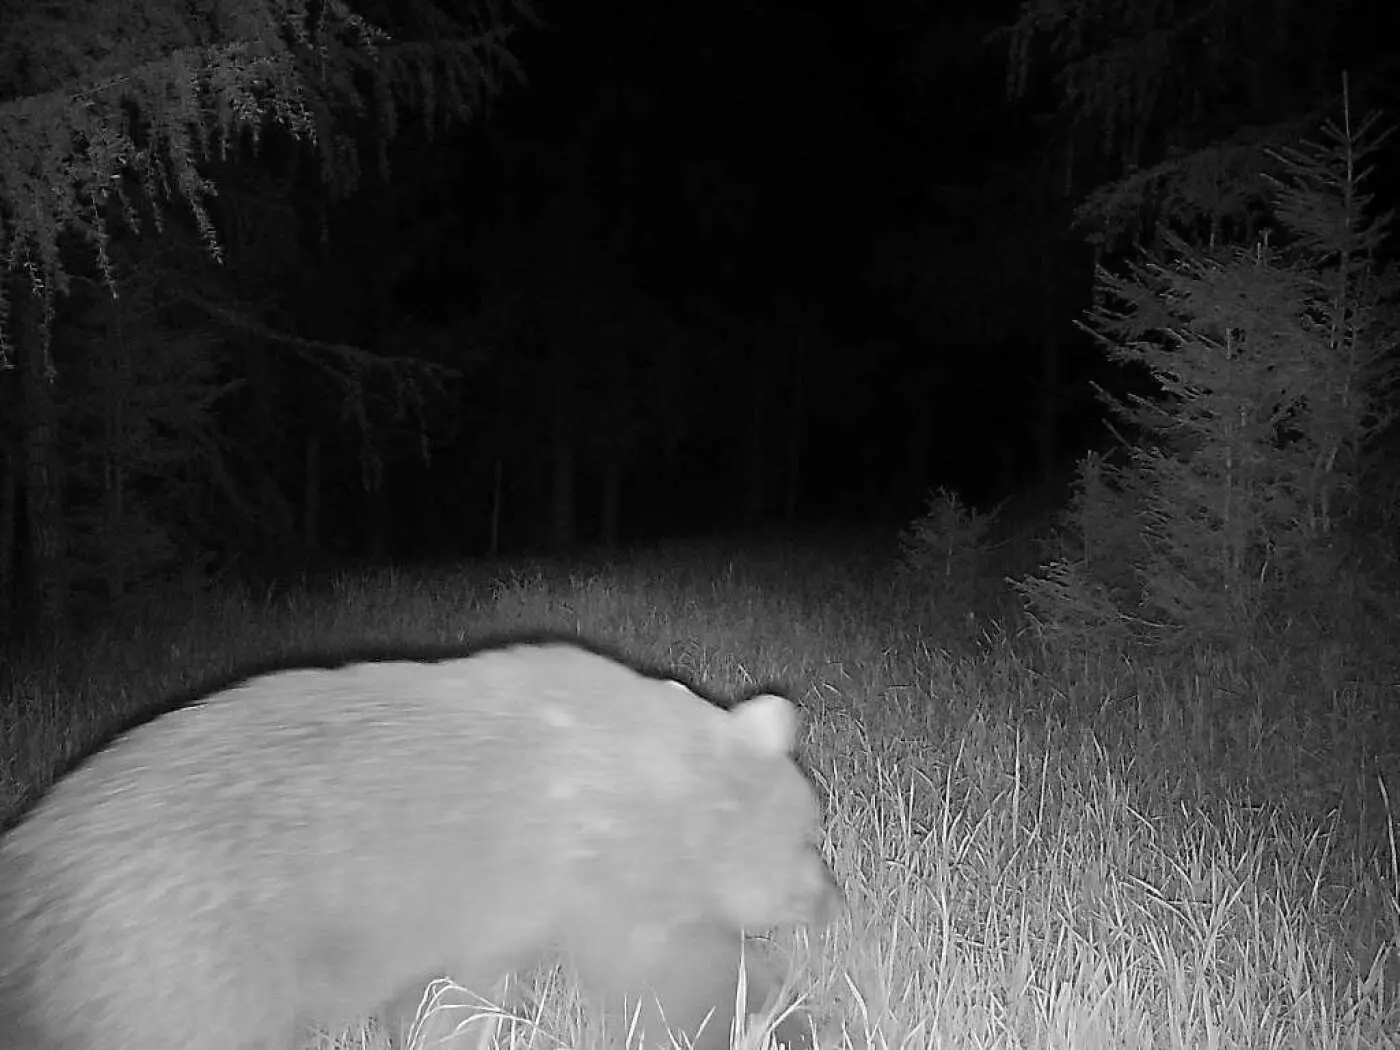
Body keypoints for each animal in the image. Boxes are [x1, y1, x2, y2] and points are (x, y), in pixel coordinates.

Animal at [0, 641, 840, 1050]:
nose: (831, 904)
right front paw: (788, 1023)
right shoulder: (587, 877)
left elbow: (448, 994)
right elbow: (682, 978)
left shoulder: (486, 912)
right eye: (807, 835)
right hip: (175, 972)